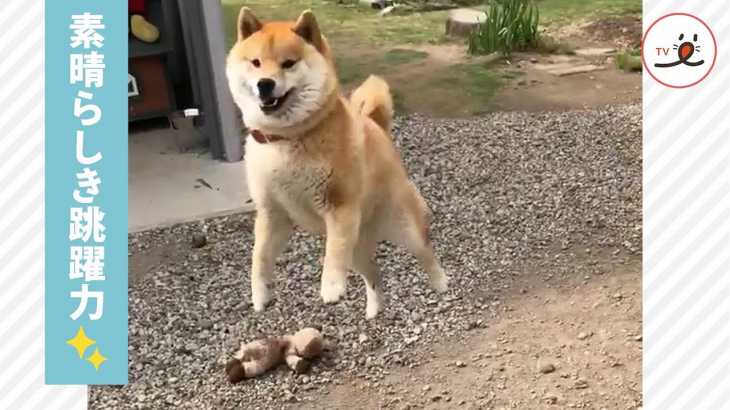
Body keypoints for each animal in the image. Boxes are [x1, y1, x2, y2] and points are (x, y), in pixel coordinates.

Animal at [225, 7, 446, 320]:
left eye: (288, 63)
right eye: (255, 63)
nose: (264, 83)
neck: (287, 138)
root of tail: (376, 126)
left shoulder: (339, 207)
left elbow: (333, 253)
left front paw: (330, 287)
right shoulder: (273, 214)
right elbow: (260, 258)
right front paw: (260, 294)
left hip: (402, 225)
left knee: (425, 250)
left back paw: (440, 282)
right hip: (359, 245)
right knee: (373, 274)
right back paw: (374, 308)